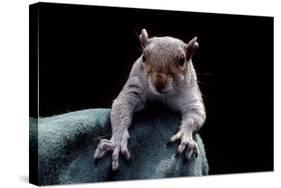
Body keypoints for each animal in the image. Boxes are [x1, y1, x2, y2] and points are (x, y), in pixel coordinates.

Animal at [94, 28, 206, 171]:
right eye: (143, 56)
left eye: (182, 60)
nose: (159, 83)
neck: (162, 96)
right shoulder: (134, 89)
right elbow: (121, 106)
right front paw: (117, 142)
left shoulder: (190, 95)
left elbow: (195, 115)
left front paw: (185, 136)